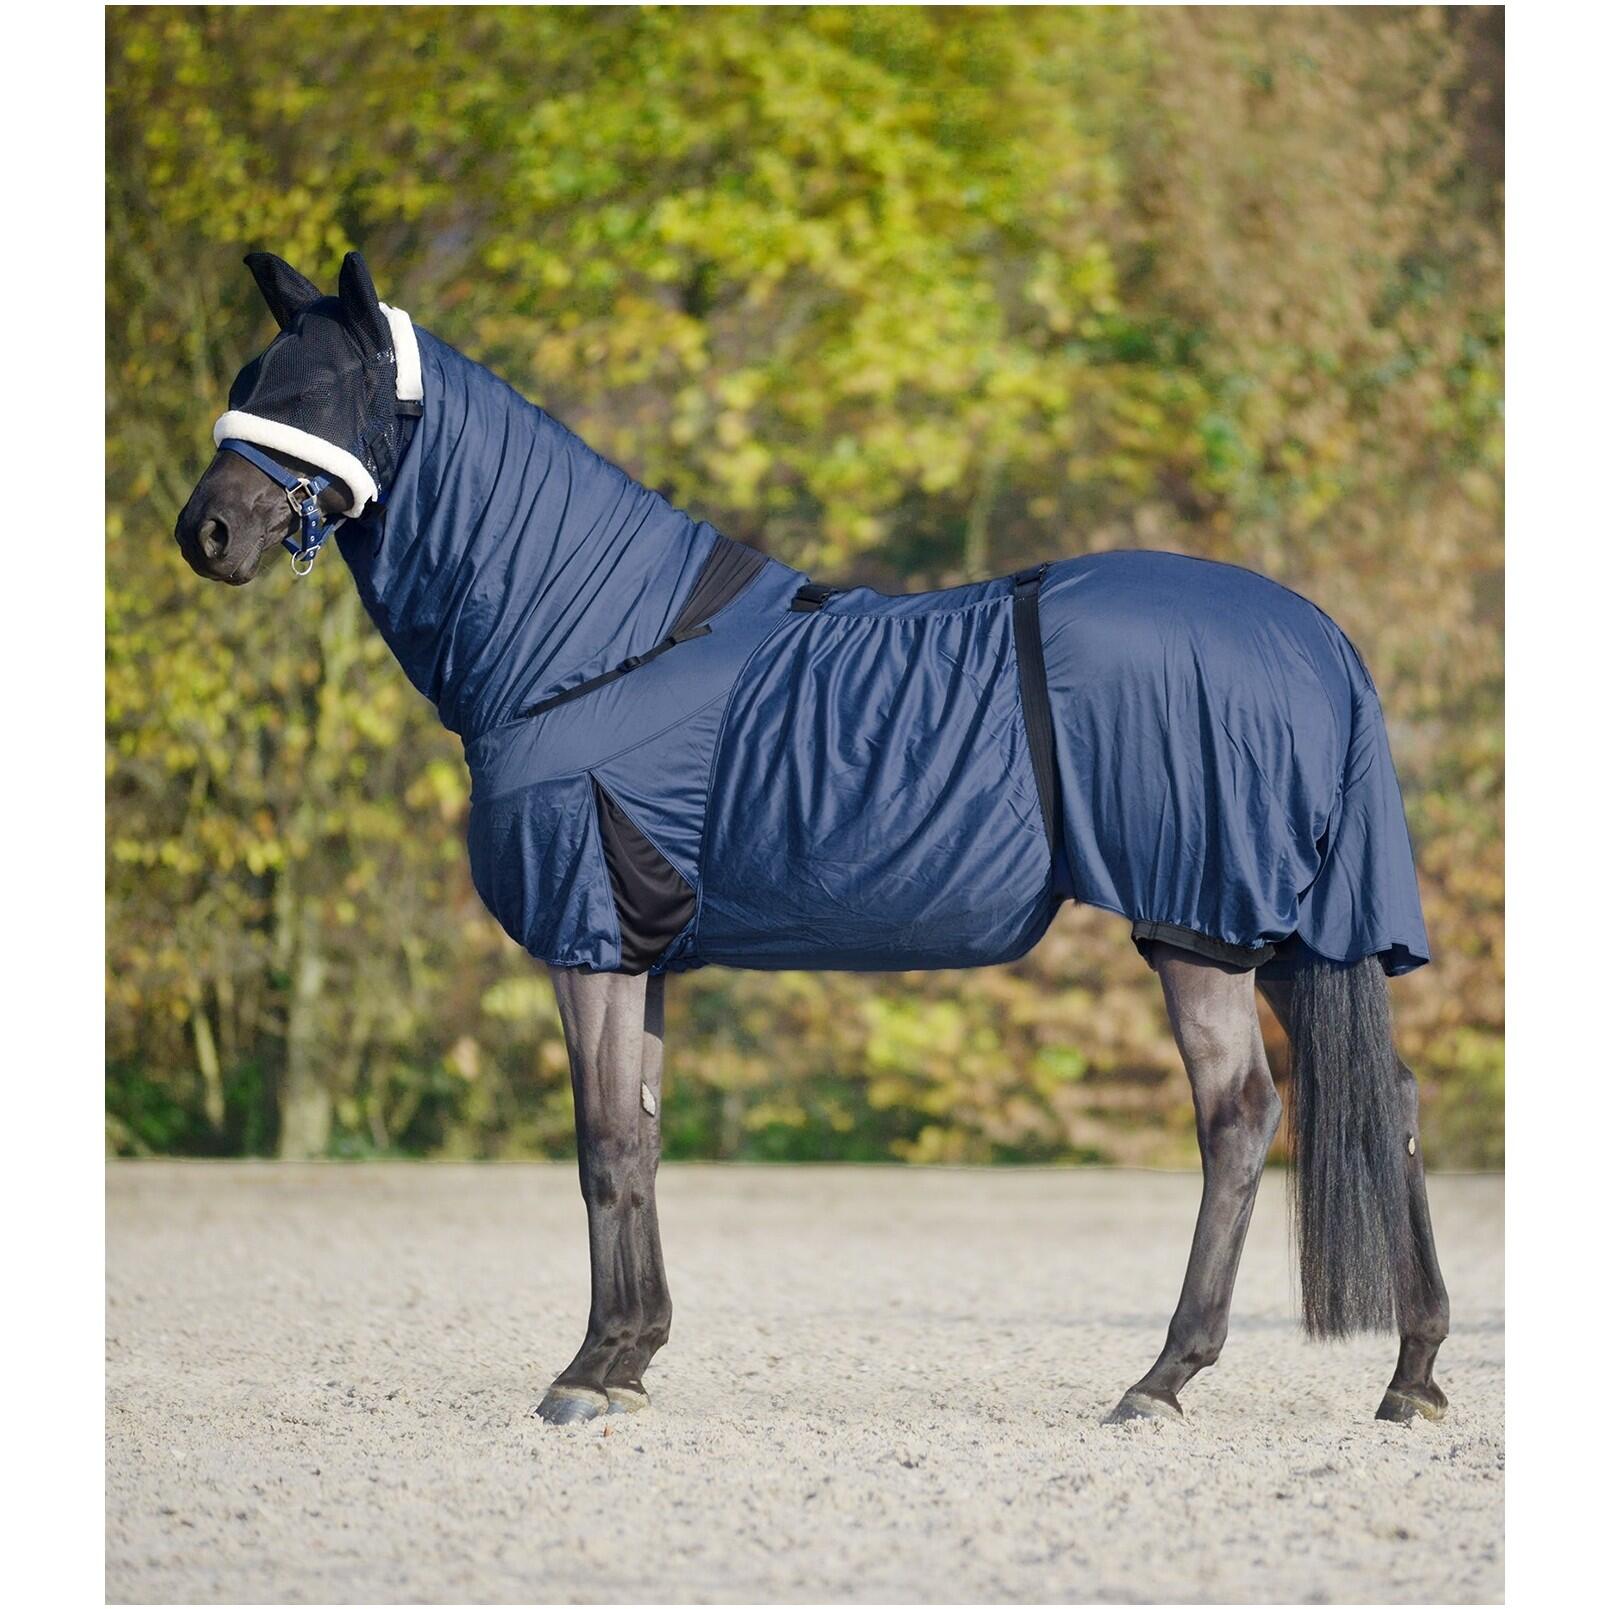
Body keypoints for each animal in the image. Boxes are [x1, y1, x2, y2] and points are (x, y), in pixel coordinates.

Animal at [174, 251, 1450, 1429]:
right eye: (246, 381)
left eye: (323, 389)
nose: (208, 532)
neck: (587, 644)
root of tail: (1316, 634)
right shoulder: (645, 953)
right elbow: (641, 1142)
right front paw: (631, 1356)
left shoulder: (590, 940)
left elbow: (600, 1147)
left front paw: (586, 1373)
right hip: (1282, 937)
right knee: (1388, 1100)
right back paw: (1413, 1374)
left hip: (1199, 927)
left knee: (1237, 1117)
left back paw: (1164, 1377)